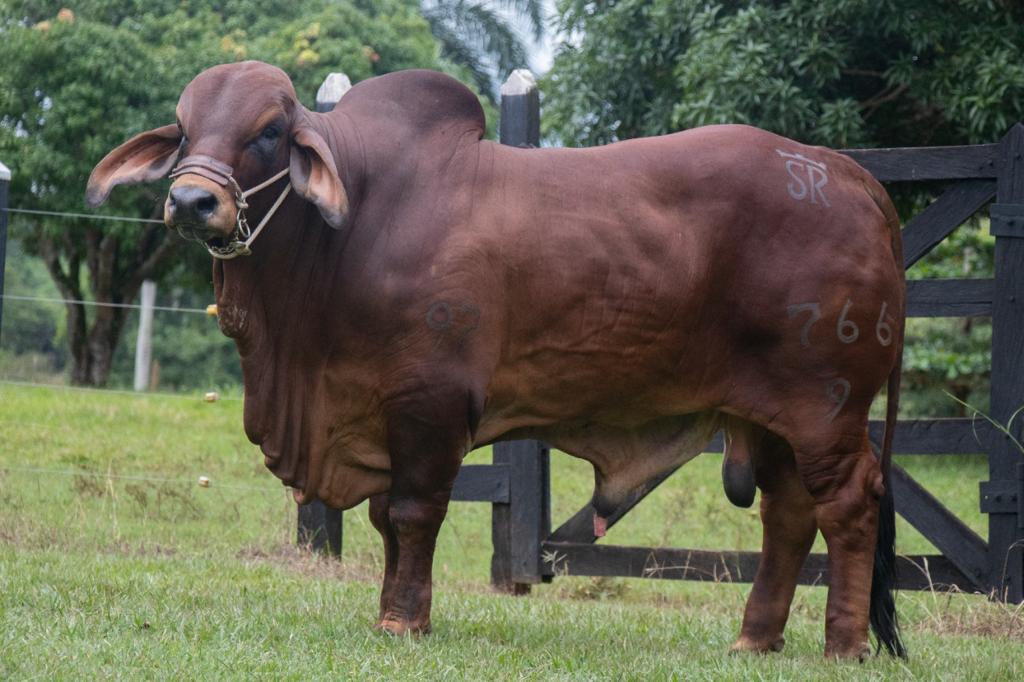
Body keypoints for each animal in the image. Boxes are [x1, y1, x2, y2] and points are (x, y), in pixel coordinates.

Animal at [86, 61, 905, 655]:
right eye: (185, 129)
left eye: (269, 130)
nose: (193, 203)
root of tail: (846, 173)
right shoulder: (379, 412)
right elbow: (385, 519)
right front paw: (392, 612)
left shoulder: (430, 404)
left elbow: (412, 513)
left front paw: (402, 623)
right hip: (770, 418)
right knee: (787, 513)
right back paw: (753, 640)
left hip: (826, 407)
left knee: (849, 505)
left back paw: (843, 646)